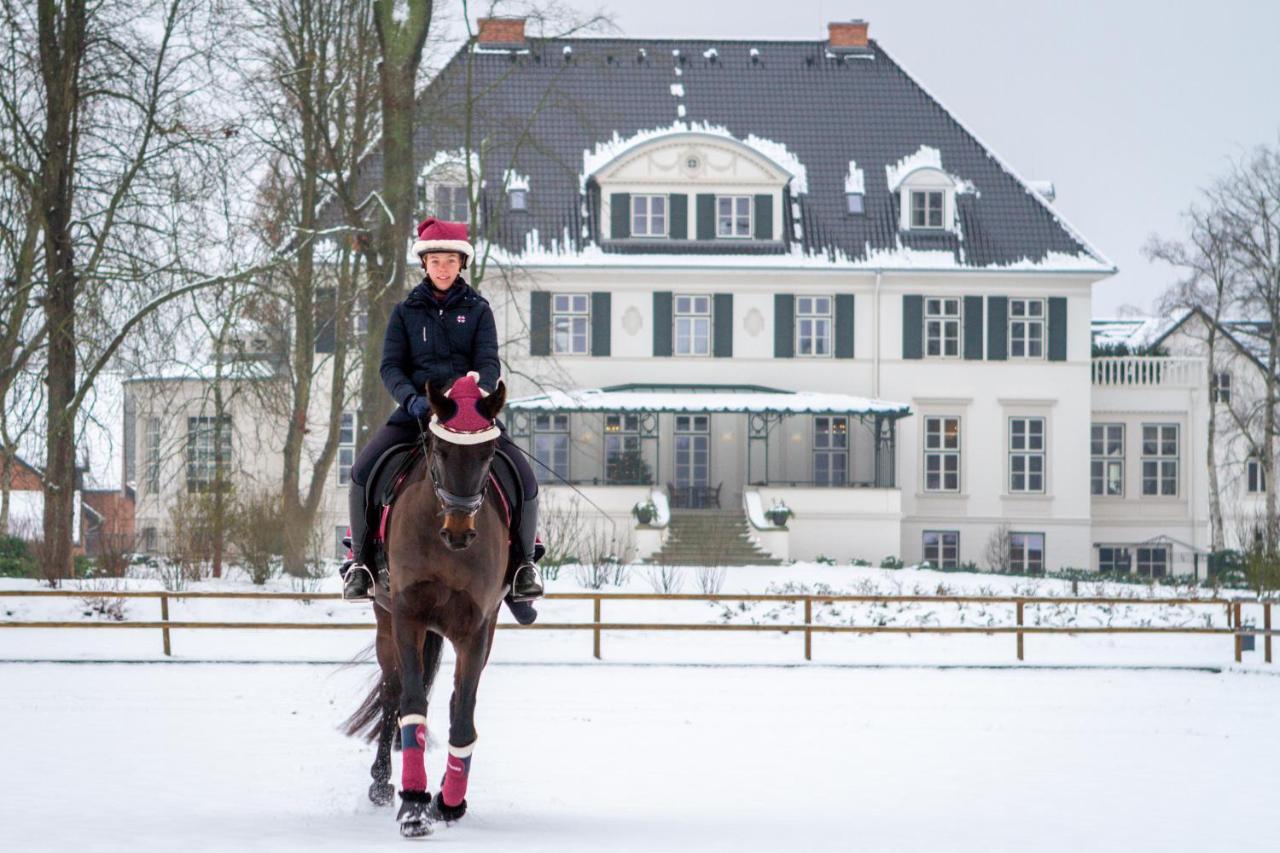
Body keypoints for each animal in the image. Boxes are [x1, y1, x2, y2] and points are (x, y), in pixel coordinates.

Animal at [350, 373, 514, 835]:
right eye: (441, 451)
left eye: (488, 453)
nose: (459, 530)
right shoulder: (409, 616)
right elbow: (411, 704)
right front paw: (413, 804)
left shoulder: (477, 627)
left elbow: (463, 712)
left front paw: (450, 802)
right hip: (384, 619)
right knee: (392, 691)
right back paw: (382, 783)